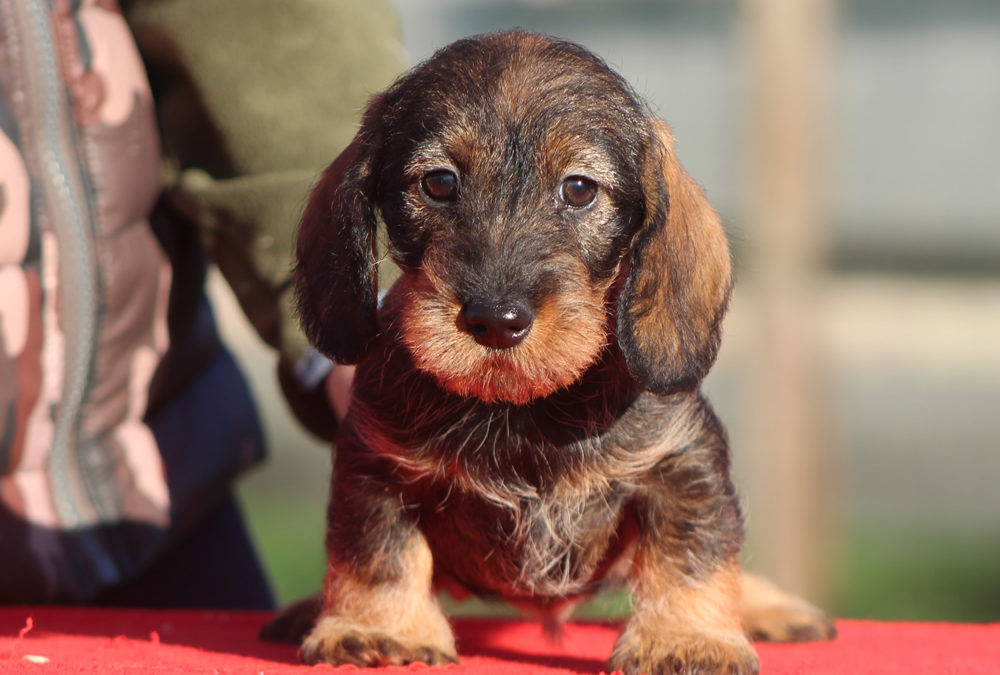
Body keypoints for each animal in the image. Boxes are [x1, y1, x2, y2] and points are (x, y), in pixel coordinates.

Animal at [292, 30, 836, 675]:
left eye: (578, 188)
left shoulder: (682, 462)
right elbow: (377, 551)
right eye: (439, 182)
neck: (523, 412)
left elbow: (691, 553)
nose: (495, 320)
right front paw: (379, 629)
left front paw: (684, 637)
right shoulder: (376, 467)